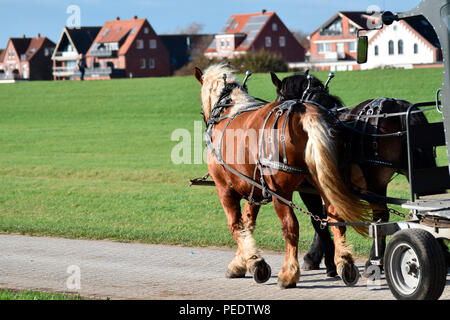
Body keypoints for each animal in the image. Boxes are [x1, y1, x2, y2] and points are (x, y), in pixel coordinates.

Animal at [193, 63, 370, 288]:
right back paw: (344, 263)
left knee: (290, 226)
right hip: (323, 182)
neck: (228, 109)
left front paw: (255, 262)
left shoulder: (225, 188)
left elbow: (236, 226)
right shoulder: (255, 188)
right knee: (335, 218)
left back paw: (289, 273)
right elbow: (248, 224)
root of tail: (305, 113)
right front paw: (242, 262)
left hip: (282, 192)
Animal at [268, 72, 438, 276]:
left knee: (381, 217)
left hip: (375, 180)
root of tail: (399, 107)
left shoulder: (308, 189)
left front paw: (323, 260)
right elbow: (326, 218)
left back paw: (374, 261)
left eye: (279, 99)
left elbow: (319, 220)